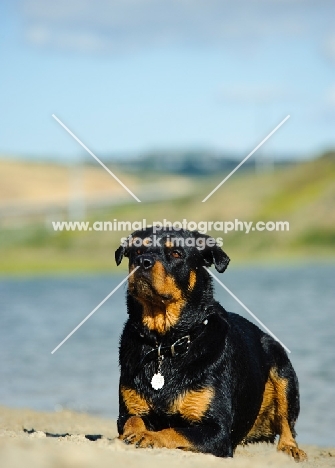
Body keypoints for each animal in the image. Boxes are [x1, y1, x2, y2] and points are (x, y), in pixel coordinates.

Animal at [115, 227, 308, 460]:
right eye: (137, 250)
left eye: (176, 253)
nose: (142, 261)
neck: (166, 342)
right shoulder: (128, 411)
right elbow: (133, 420)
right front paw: (134, 433)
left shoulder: (217, 431)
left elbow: (174, 431)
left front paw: (150, 436)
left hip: (282, 367)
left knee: (287, 423)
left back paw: (290, 448)